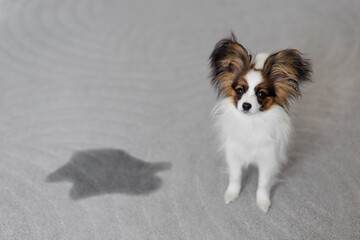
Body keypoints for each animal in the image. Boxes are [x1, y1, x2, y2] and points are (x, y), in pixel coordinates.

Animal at [210, 33, 310, 212]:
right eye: (240, 91)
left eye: (261, 94)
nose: (246, 105)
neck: (252, 122)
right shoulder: (234, 154)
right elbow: (235, 177)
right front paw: (231, 194)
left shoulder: (267, 159)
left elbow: (263, 183)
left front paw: (263, 202)